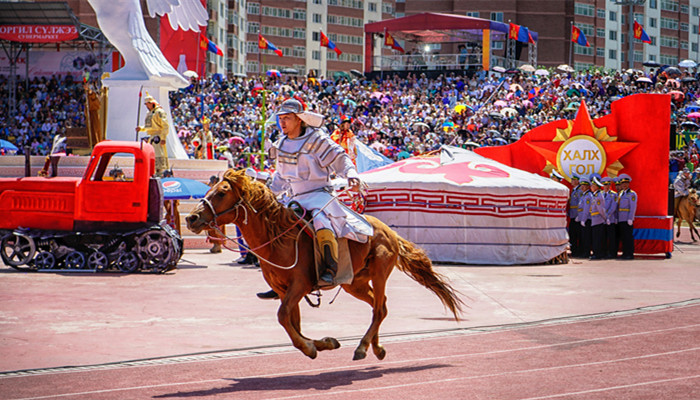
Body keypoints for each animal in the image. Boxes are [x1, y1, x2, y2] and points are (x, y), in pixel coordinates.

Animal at [186, 168, 464, 360]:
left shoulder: (299, 285)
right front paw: (325, 343)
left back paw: (363, 347)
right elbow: (293, 324)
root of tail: (390, 232)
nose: (191, 218)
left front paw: (310, 348)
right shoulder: (284, 291)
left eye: (221, 192)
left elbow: (284, 318)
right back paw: (375, 348)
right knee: (379, 305)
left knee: (379, 309)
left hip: (379, 273)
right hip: (354, 283)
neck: (278, 239)